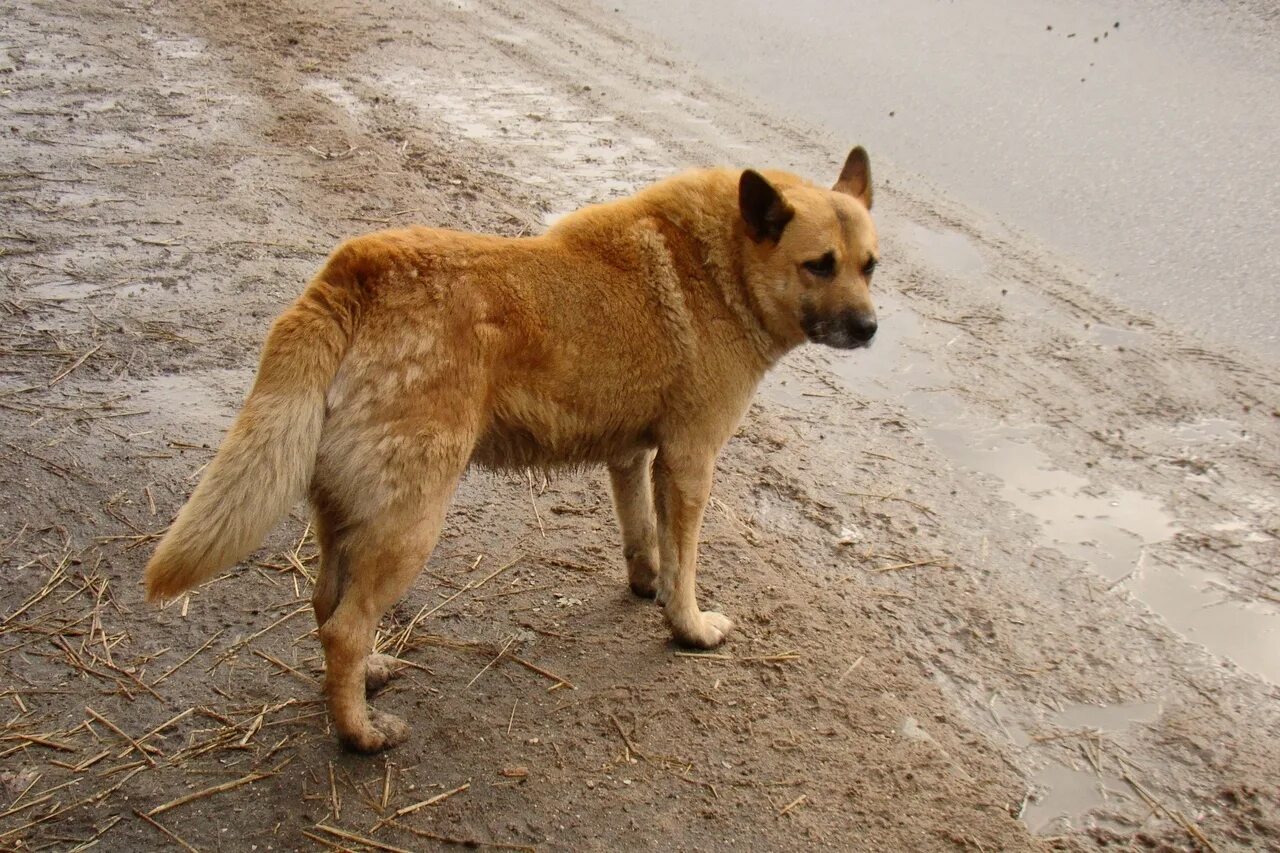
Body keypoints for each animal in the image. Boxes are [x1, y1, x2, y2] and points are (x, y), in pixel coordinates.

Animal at [145, 147, 875, 753]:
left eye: (870, 266)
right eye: (819, 265)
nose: (870, 327)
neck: (720, 263)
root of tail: (359, 270)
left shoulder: (632, 458)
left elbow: (643, 538)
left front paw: (647, 587)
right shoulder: (690, 462)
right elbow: (685, 563)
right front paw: (688, 626)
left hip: (350, 514)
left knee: (327, 608)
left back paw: (366, 678)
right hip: (410, 526)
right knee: (345, 627)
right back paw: (360, 734)